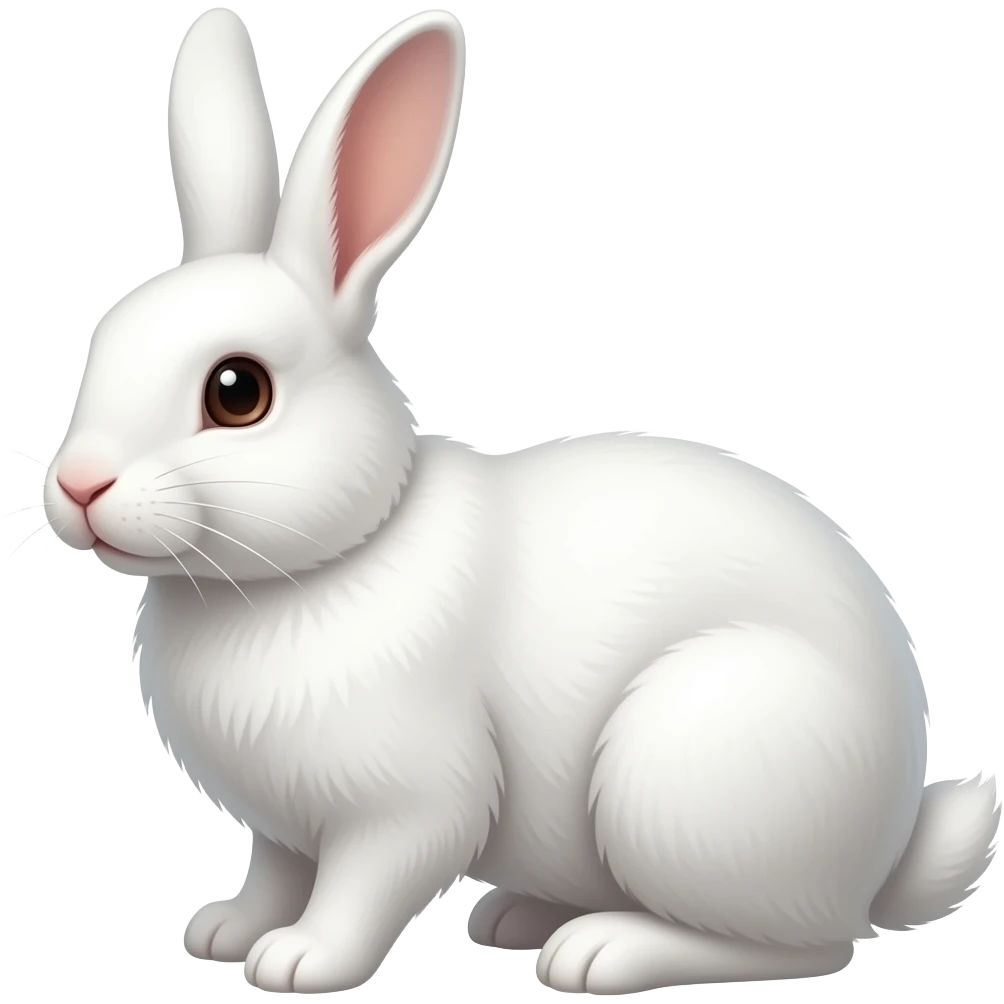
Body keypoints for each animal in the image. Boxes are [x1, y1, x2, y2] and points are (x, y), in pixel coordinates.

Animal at [41, 7, 999, 996]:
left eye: (238, 392)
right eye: (100, 340)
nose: (78, 486)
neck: (318, 565)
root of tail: (887, 846)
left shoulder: (410, 802)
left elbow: (364, 885)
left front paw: (302, 961)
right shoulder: (282, 826)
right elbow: (274, 873)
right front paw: (225, 931)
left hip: (686, 773)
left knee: (807, 945)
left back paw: (600, 951)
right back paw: (518, 916)